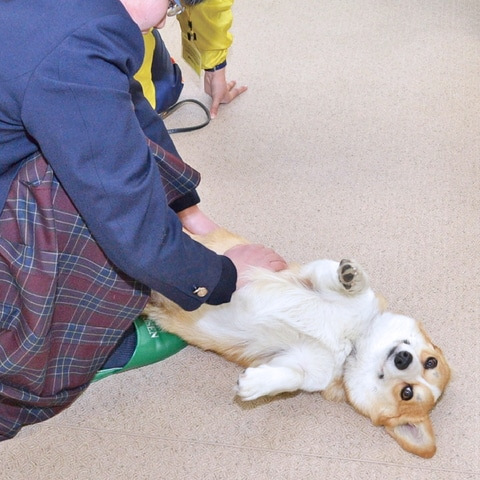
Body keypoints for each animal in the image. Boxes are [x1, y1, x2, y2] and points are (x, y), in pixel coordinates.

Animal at [144, 229, 452, 458]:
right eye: (430, 361)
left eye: (407, 393)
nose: (403, 358)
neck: (352, 343)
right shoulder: (311, 276)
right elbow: (341, 280)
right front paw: (351, 276)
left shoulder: (298, 362)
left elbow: (289, 376)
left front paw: (254, 385)